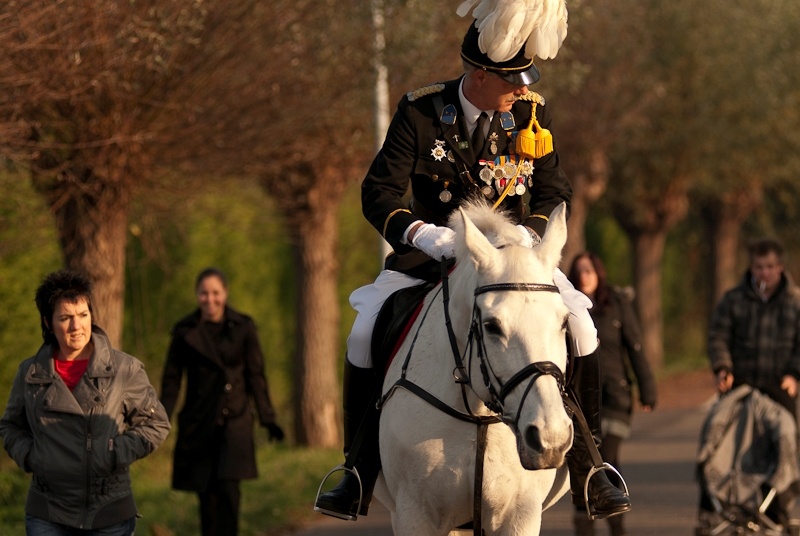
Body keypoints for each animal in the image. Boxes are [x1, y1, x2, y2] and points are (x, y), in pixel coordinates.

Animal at [376, 199, 576, 532]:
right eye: (491, 325)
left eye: (564, 322)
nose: (550, 439)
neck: (478, 414)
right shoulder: (413, 514)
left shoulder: (521, 515)